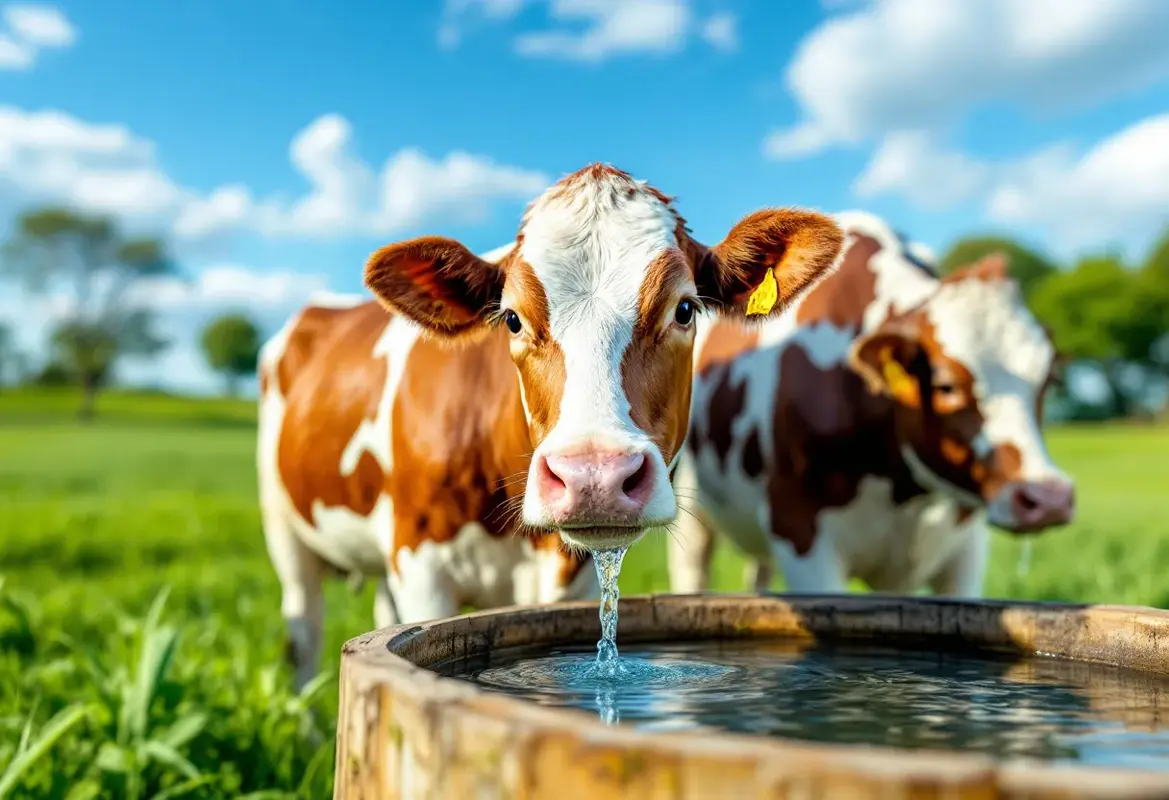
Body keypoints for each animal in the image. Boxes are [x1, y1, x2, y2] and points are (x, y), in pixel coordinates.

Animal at [257, 163, 846, 688]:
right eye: (513, 319)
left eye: (684, 310)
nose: (594, 477)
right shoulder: (418, 562)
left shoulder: (571, 578)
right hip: (284, 526)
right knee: (303, 632)